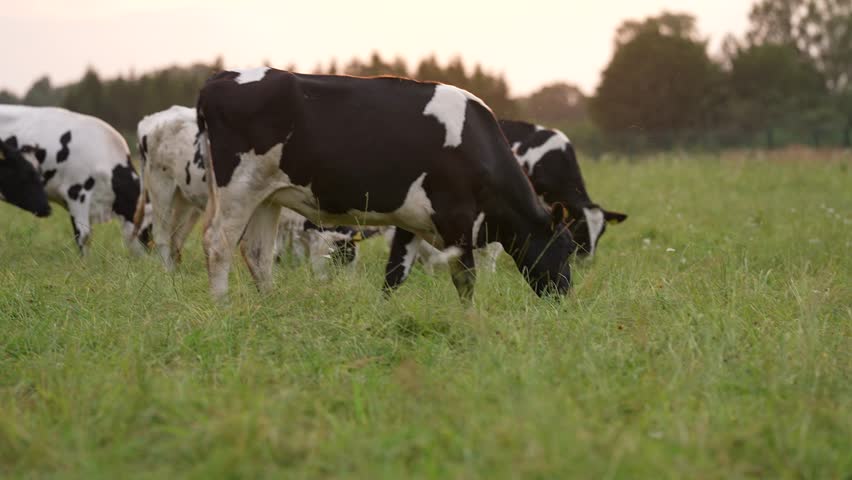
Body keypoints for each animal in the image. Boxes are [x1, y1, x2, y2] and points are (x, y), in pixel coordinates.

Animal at [134, 105, 370, 273]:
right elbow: (273, 252)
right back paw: (166, 275)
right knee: (162, 235)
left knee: (176, 237)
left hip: (185, 198)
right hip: (161, 187)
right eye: (341, 257)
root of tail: (153, 119)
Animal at [196, 67, 576, 302]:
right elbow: (465, 278)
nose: (564, 296)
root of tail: (221, 77)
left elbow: (395, 274)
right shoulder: (456, 219)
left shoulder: (412, 220)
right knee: (218, 243)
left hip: (266, 195)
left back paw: (270, 305)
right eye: (567, 248)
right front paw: (471, 321)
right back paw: (222, 306)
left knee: (258, 253)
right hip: (238, 189)